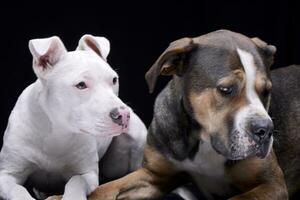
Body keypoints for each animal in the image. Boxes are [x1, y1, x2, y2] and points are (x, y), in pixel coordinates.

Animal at [0, 35, 146, 199]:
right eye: (81, 85)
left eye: (114, 80)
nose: (123, 114)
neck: (57, 132)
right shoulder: (7, 175)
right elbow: (17, 190)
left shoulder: (88, 174)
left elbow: (76, 180)